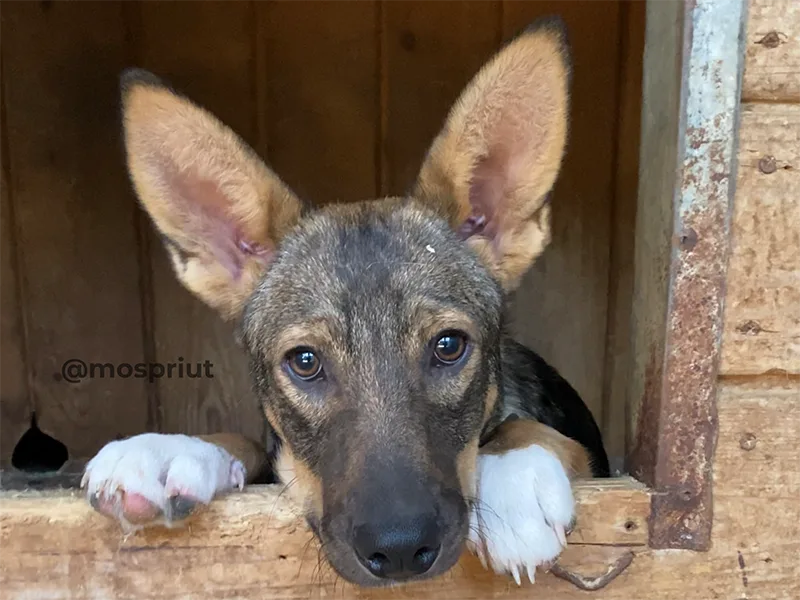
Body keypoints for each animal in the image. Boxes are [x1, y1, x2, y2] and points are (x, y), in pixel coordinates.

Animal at [81, 16, 608, 588]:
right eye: (305, 361)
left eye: (449, 346)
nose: (400, 551)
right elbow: (252, 444)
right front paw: (171, 448)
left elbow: (530, 430)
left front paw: (515, 476)